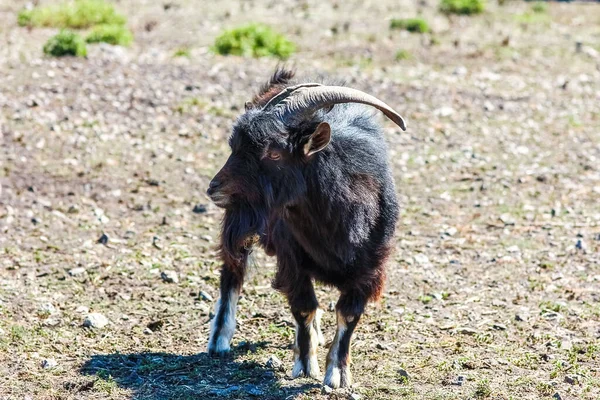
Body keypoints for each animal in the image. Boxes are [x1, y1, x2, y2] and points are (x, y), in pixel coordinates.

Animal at [206, 68, 408, 388]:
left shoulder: (371, 266)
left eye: (274, 153)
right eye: (234, 147)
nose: (214, 188)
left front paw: (337, 373)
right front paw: (305, 364)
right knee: (232, 271)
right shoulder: (292, 258)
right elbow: (304, 306)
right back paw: (219, 340)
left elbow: (348, 315)